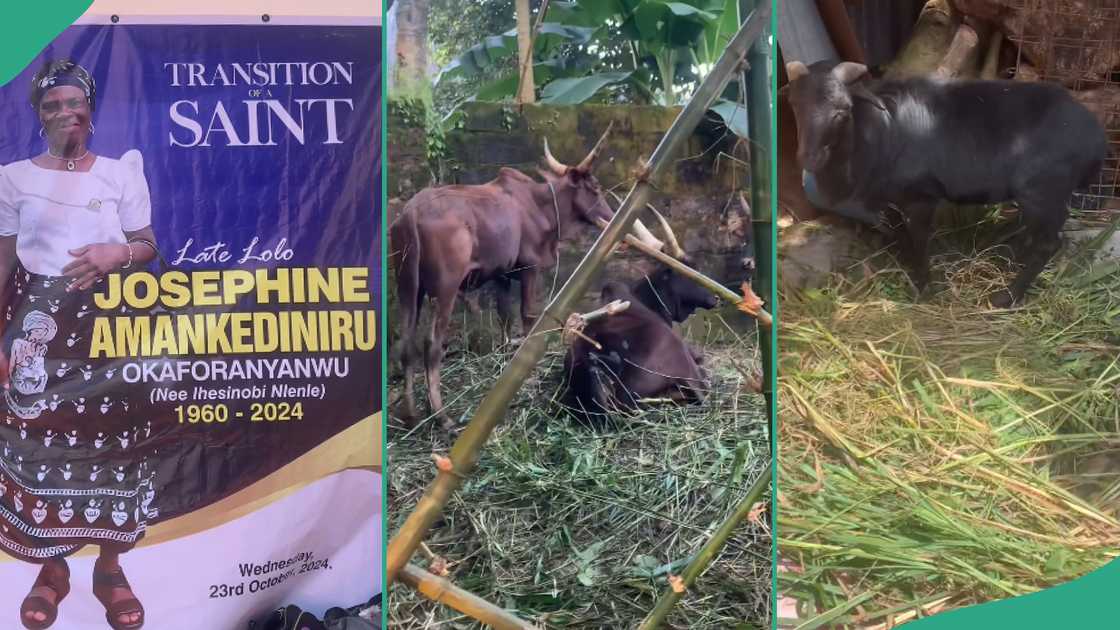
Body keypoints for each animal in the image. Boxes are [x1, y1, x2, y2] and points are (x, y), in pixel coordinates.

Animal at [392, 122, 663, 425]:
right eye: (594, 188)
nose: (614, 222)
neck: (547, 211)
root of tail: (409, 218)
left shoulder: (501, 274)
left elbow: (505, 319)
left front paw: (503, 359)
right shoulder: (530, 268)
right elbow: (527, 317)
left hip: (408, 286)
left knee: (406, 342)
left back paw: (411, 412)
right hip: (445, 287)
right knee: (432, 343)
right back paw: (440, 414)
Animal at [784, 59, 1106, 304]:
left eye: (843, 110)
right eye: (794, 105)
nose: (808, 160)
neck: (878, 132)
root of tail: (1098, 138)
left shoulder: (921, 196)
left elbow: (919, 240)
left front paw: (925, 286)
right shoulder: (891, 199)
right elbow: (900, 235)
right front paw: (909, 268)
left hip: (1043, 192)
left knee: (1049, 244)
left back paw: (1007, 297)